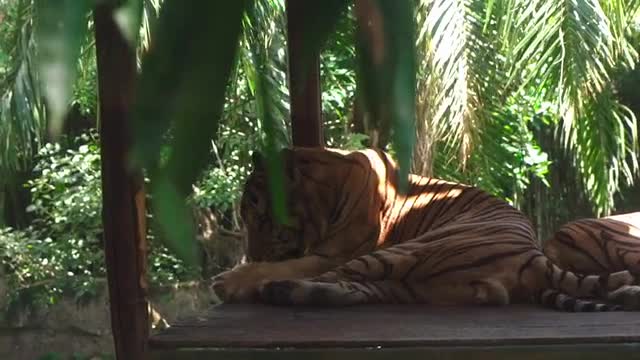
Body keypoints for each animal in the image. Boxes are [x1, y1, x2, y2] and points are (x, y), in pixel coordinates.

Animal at [212, 146, 640, 310]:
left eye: (261, 218)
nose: (252, 251)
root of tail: (532, 255)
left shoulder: (334, 252)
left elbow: (287, 262)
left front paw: (232, 279)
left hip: (402, 253)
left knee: (338, 280)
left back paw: (272, 289)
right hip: (413, 281)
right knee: (358, 290)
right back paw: (288, 293)